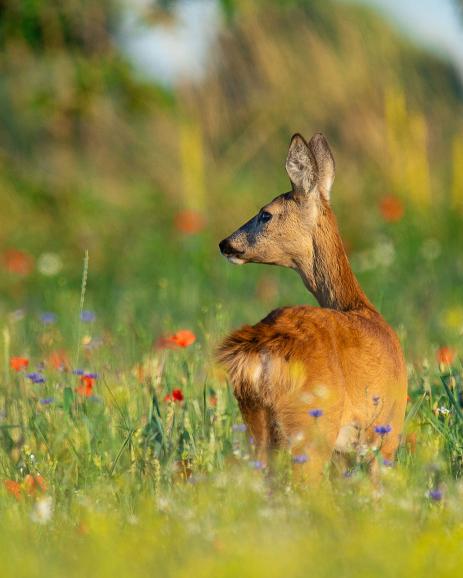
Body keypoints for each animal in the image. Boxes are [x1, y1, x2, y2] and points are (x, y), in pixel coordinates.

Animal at [219, 133, 408, 480]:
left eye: (265, 213)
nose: (225, 244)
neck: (361, 306)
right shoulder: (388, 431)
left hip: (256, 424)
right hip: (312, 426)